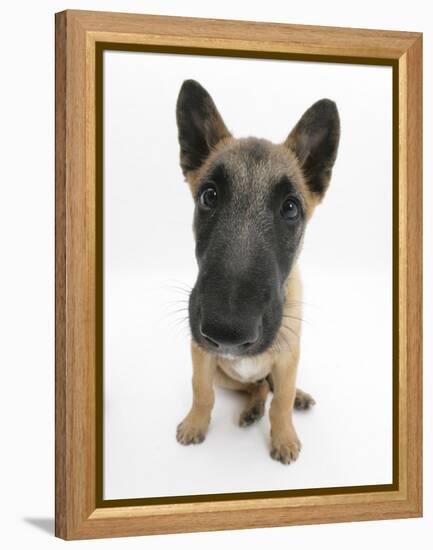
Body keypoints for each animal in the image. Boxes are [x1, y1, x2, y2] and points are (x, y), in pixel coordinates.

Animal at [174, 78, 340, 466]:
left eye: (290, 209)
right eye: (208, 196)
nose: (228, 332)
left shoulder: (288, 358)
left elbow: (281, 403)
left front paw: (284, 436)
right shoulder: (202, 358)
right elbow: (201, 391)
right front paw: (195, 423)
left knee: (273, 389)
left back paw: (296, 397)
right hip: (227, 376)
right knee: (255, 387)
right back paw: (251, 407)